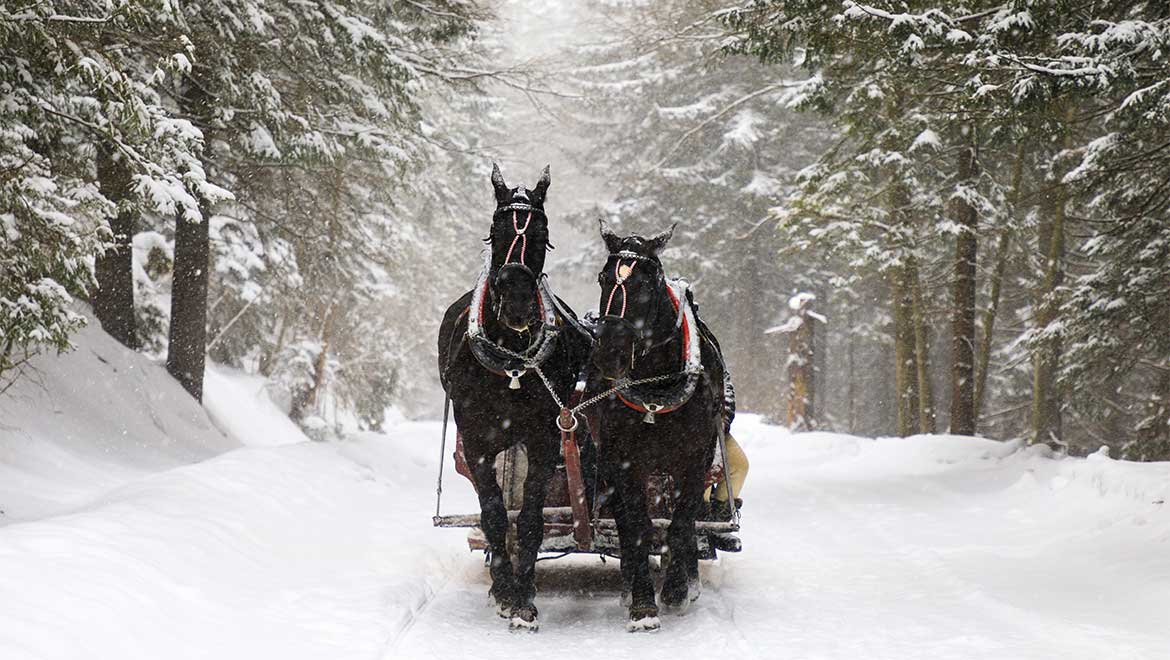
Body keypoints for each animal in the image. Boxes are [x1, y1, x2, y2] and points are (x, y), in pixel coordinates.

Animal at [589, 223, 725, 631]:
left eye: (645, 286)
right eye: (603, 278)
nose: (609, 353)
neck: (656, 383)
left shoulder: (695, 460)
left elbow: (681, 522)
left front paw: (677, 590)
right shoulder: (623, 462)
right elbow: (636, 527)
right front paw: (642, 604)